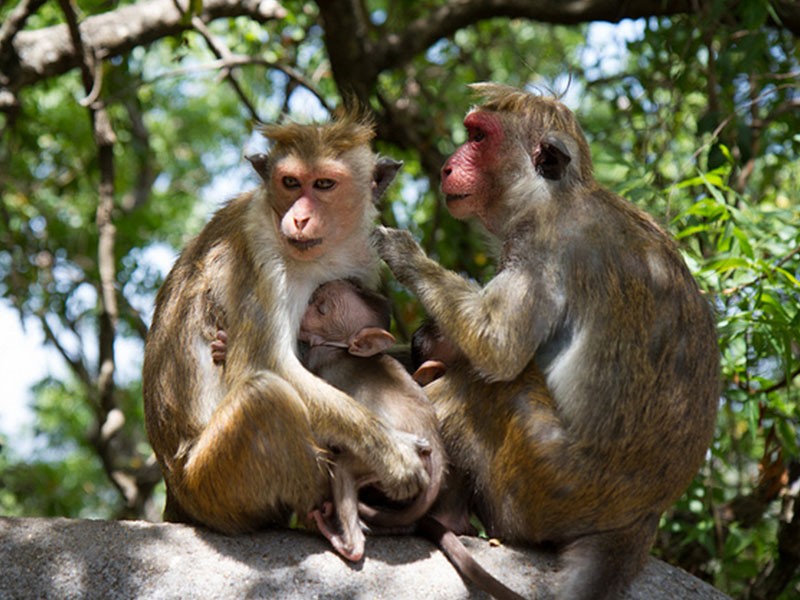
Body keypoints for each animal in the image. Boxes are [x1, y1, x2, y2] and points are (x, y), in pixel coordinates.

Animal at [142, 110, 431, 560]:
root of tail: (175, 492)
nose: (298, 218)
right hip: (212, 485)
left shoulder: (359, 258)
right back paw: (332, 516)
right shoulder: (260, 251)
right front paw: (393, 454)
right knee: (267, 397)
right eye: (291, 182)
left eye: (324, 184)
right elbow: (265, 364)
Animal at [371, 83, 720, 600]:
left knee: (484, 388)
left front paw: (401, 251)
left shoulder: (540, 247)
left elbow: (497, 349)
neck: (551, 195)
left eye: (478, 137)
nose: (447, 167)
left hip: (541, 484)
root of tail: (640, 519)